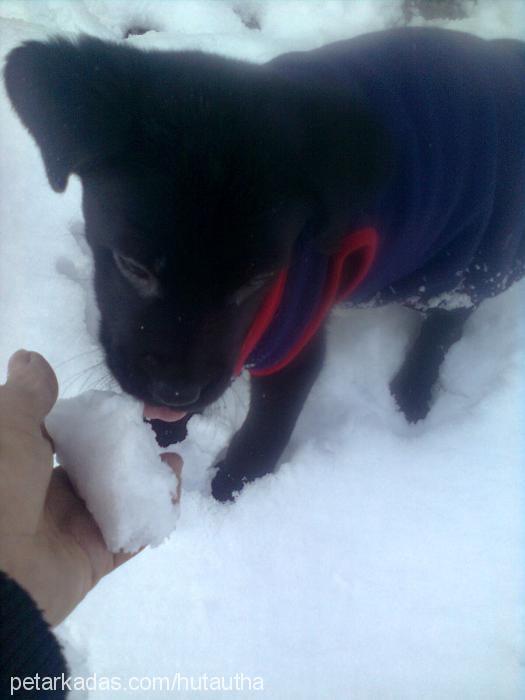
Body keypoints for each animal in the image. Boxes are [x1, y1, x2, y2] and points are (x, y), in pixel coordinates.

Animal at [5, 27, 524, 500]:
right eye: (134, 266)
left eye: (259, 280)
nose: (176, 392)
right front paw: (156, 440)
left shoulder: (296, 340)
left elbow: (264, 435)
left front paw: (228, 494)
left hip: (459, 256)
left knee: (449, 317)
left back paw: (413, 392)